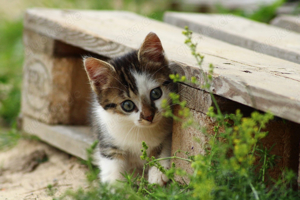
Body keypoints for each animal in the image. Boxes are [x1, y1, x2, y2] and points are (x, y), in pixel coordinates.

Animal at [83, 31, 175, 186]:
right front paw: (115, 187)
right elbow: (111, 165)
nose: (149, 116)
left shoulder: (168, 133)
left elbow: (165, 146)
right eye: (127, 105)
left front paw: (158, 172)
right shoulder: (107, 138)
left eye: (156, 93)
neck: (140, 130)